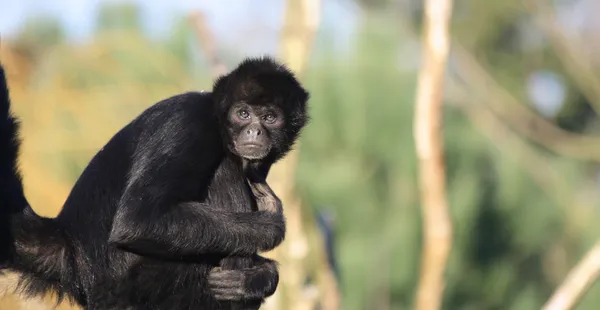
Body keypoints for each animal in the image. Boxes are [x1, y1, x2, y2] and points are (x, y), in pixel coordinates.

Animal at [0, 56, 310, 310]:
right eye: (242, 114)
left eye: (270, 117)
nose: (254, 130)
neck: (216, 120)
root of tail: (70, 249)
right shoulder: (188, 124)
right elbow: (138, 220)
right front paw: (270, 227)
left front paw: (260, 277)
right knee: (225, 170)